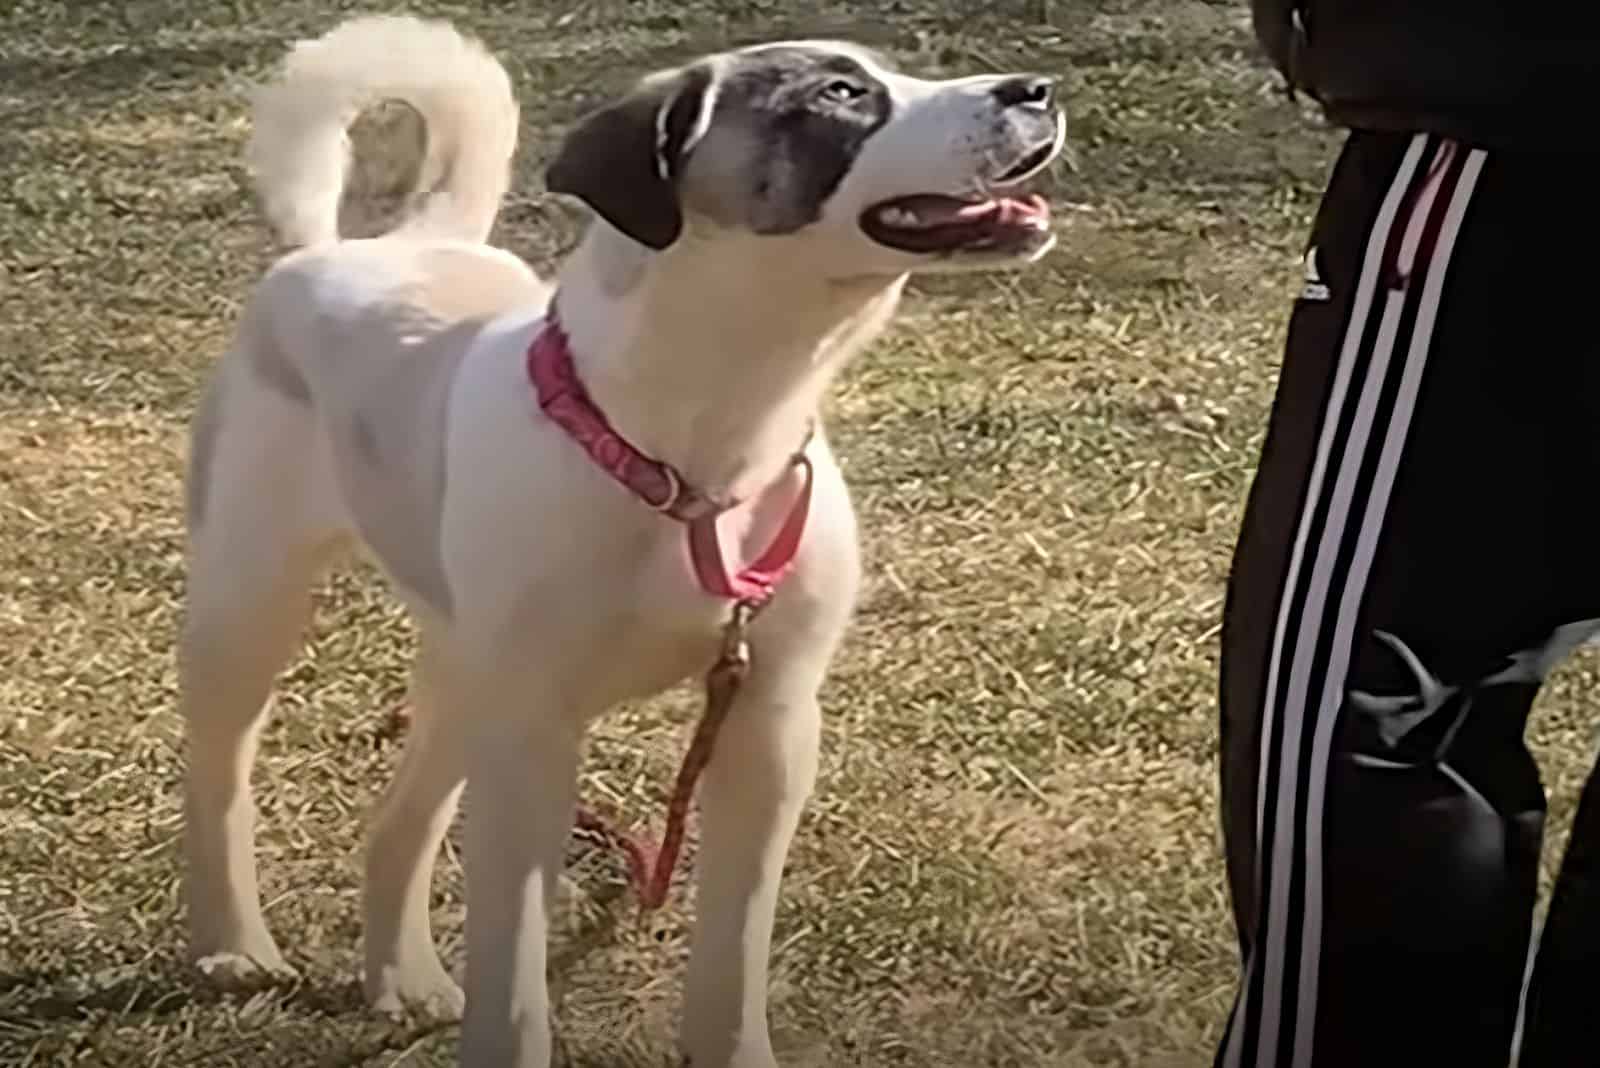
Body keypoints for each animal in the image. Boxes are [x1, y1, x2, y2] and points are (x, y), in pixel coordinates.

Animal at [178, 12, 1062, 1061]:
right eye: (839, 93)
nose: (1036, 89)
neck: (697, 455)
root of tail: (381, 245)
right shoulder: (532, 739)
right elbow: (515, 979)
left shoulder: (767, 725)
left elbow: (732, 958)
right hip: (250, 607)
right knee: (220, 774)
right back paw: (233, 944)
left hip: (462, 671)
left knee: (396, 825)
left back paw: (405, 976)